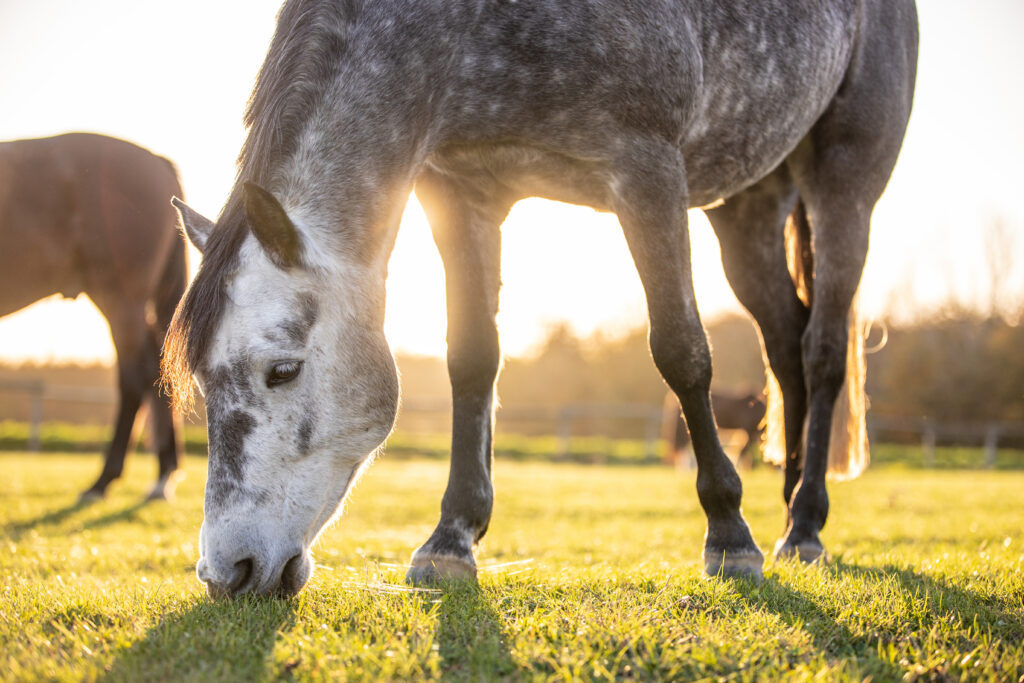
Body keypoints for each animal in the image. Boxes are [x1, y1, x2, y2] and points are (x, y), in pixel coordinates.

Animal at [163, 0, 918, 596]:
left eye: (282, 370)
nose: (227, 570)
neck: (470, 23)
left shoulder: (647, 170)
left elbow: (680, 351)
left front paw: (729, 535)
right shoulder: (460, 191)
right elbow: (473, 359)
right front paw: (451, 539)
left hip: (843, 181)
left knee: (821, 350)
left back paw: (805, 524)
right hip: (749, 204)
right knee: (785, 345)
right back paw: (791, 501)